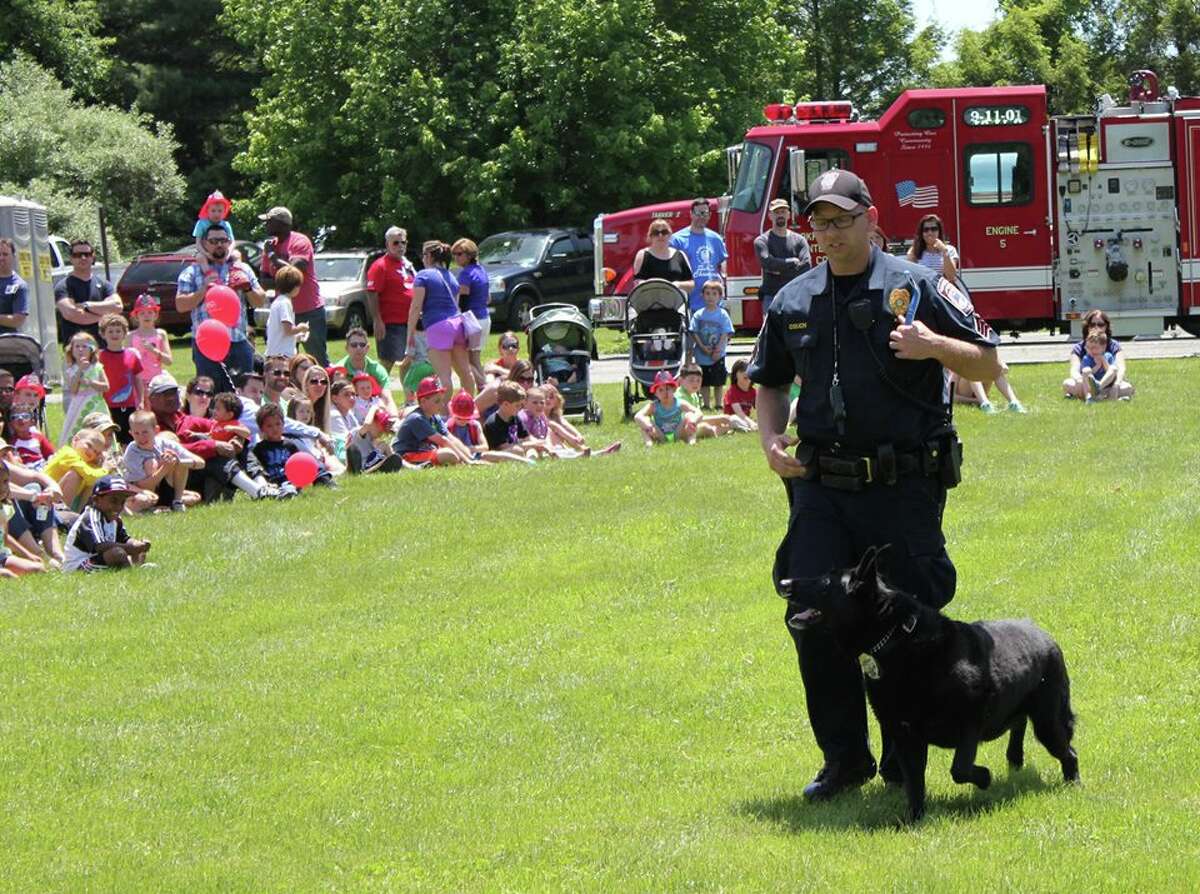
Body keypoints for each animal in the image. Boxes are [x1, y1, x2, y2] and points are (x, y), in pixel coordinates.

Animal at [782, 544, 1084, 820]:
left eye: (825, 582)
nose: (784, 583)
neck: (895, 640)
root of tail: (1044, 635)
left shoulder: (969, 725)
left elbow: (959, 769)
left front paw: (984, 778)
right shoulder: (904, 735)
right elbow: (915, 783)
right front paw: (914, 819)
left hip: (1048, 724)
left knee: (1069, 752)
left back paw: (1073, 784)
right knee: (1019, 727)